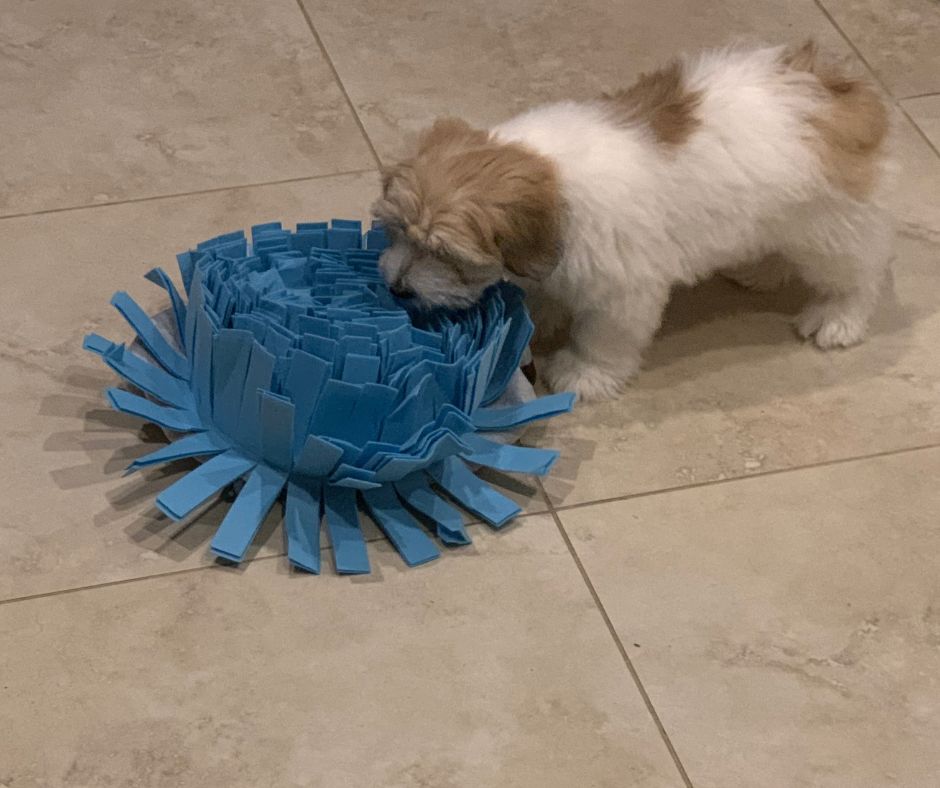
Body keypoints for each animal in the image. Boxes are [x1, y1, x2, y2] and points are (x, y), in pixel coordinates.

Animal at [370, 40, 892, 404]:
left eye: (445, 253)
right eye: (395, 231)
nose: (398, 289)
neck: (553, 180)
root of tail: (837, 90)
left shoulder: (623, 290)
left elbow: (604, 337)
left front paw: (583, 373)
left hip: (828, 229)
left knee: (861, 275)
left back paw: (837, 319)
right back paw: (760, 270)